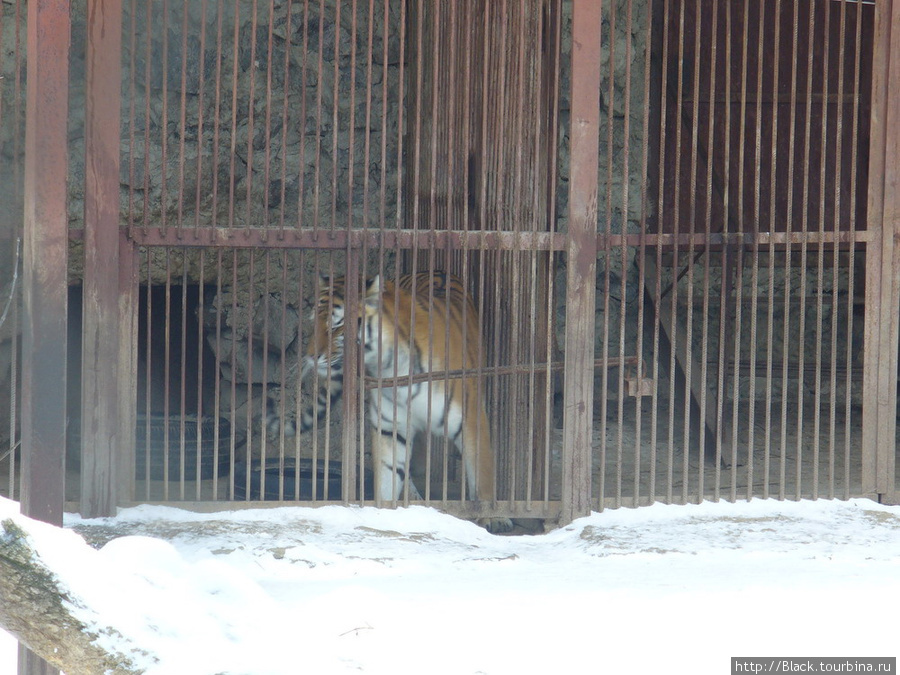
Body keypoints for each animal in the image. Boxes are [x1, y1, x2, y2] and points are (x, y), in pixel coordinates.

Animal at [296, 272, 506, 536]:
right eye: (313, 322)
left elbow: (482, 472)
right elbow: (388, 477)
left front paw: (492, 518)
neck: (391, 361)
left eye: (336, 325)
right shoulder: (389, 427)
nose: (310, 357)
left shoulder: (470, 419)